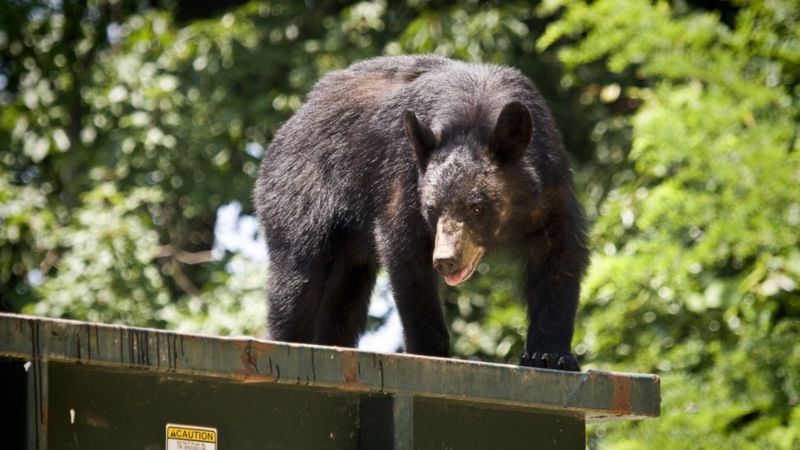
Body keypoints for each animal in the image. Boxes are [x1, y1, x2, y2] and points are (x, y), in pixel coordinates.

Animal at [255, 54, 588, 370]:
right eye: (431, 208)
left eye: (477, 207)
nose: (446, 260)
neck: (476, 115)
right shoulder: (404, 177)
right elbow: (407, 255)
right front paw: (431, 350)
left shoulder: (552, 185)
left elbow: (559, 255)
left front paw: (550, 355)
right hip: (301, 192)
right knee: (300, 278)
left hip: (349, 252)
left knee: (343, 301)